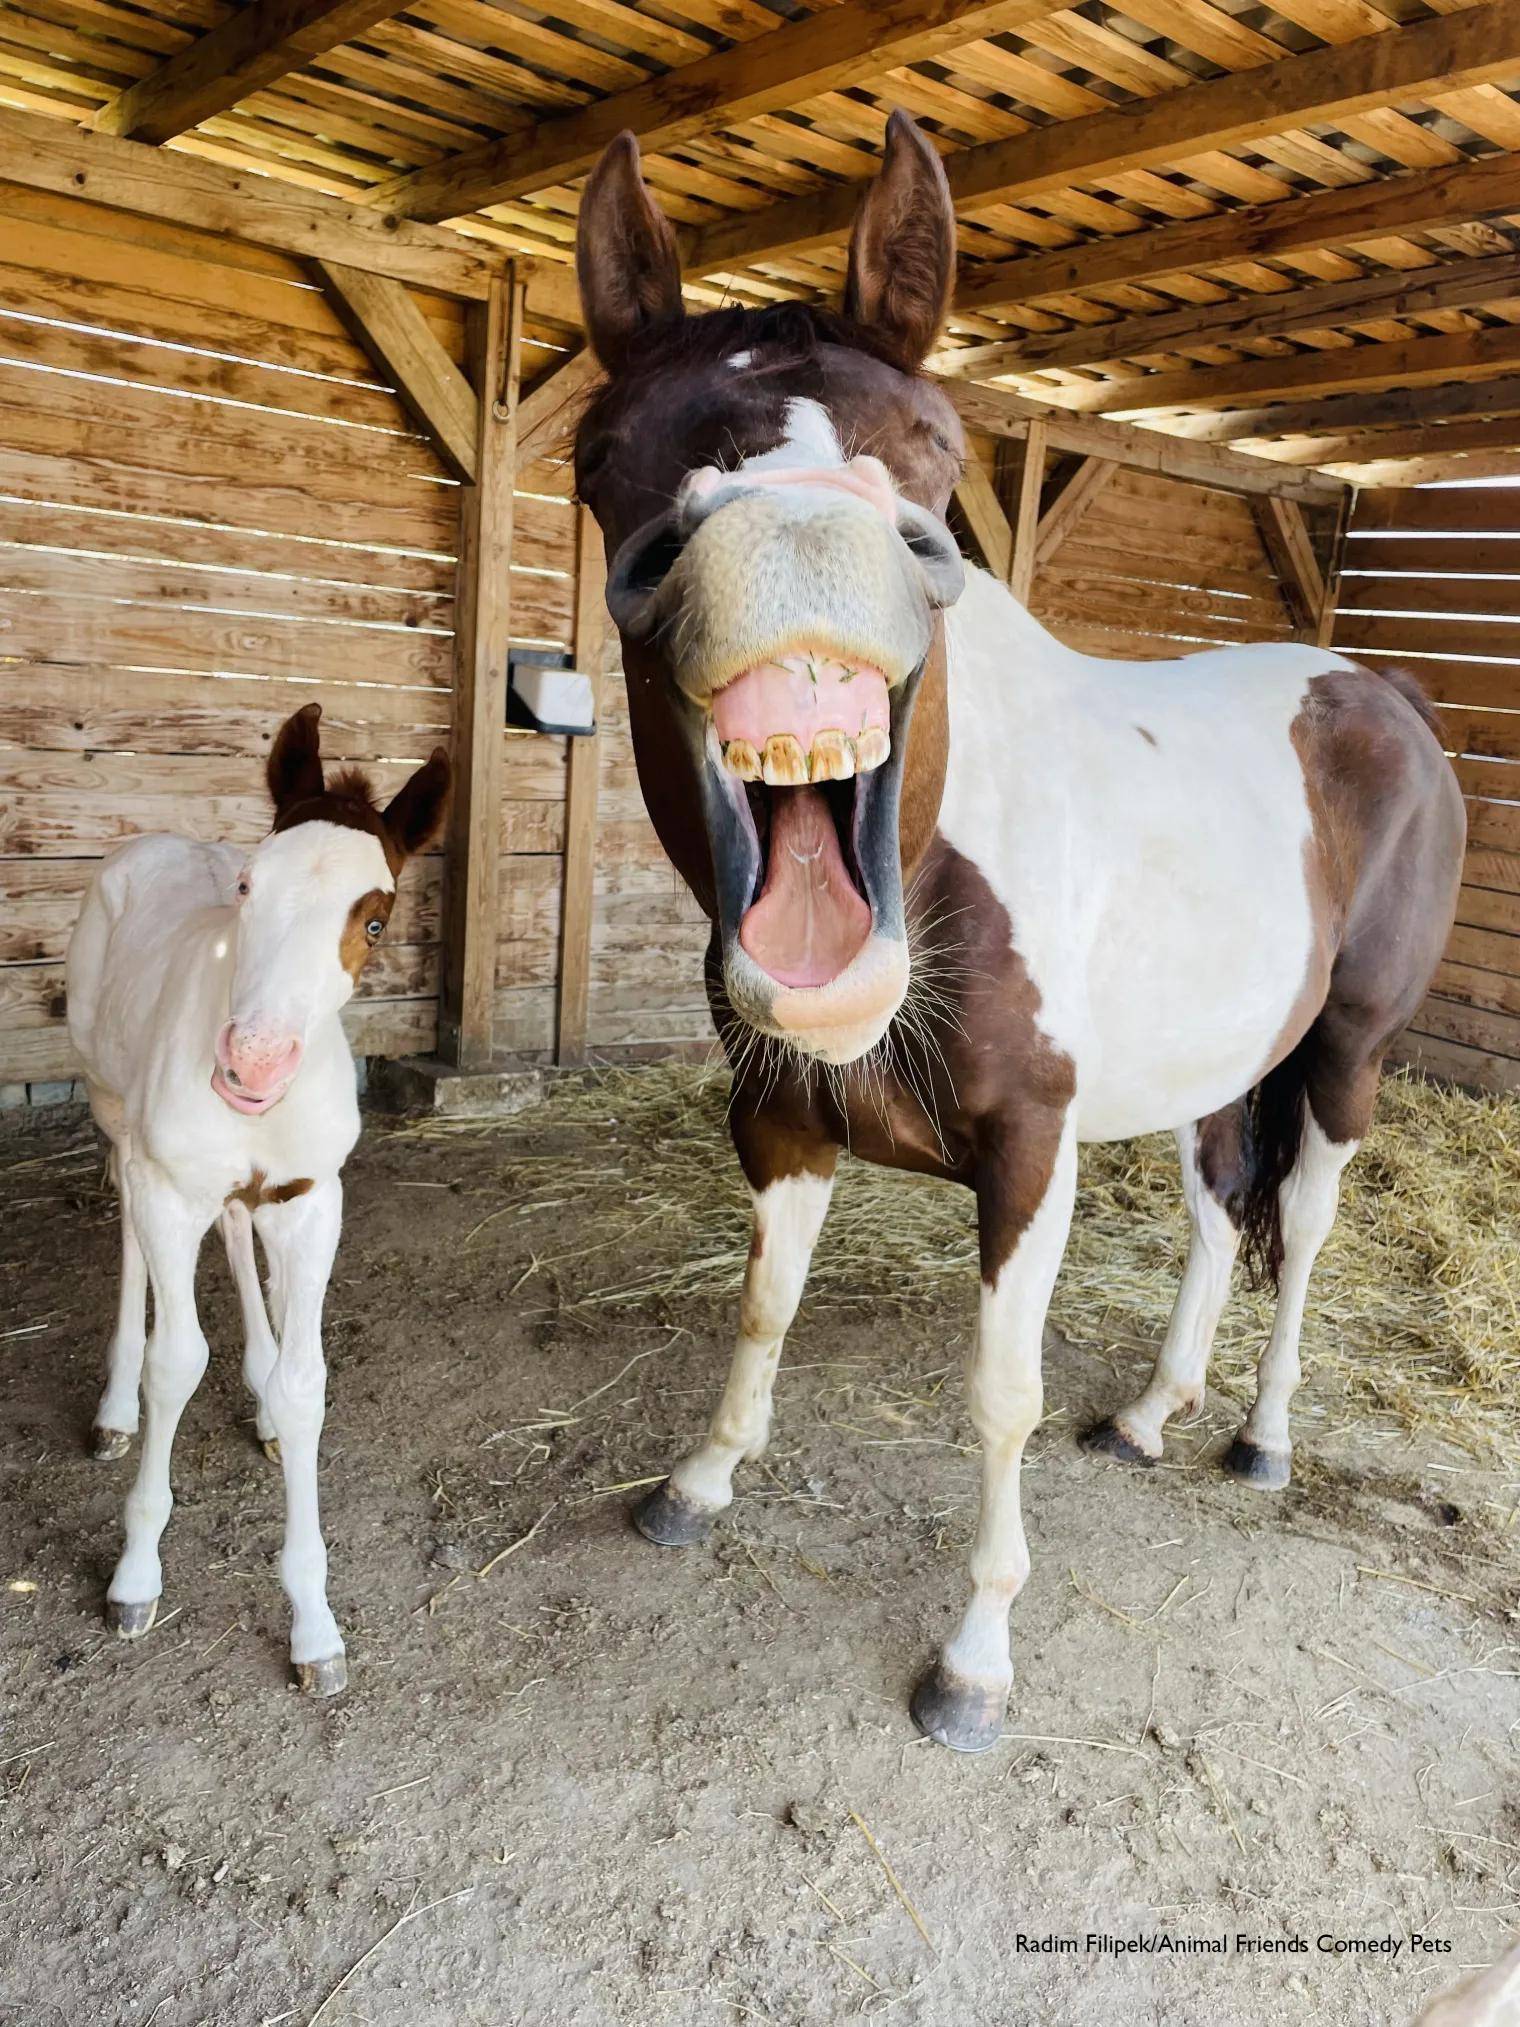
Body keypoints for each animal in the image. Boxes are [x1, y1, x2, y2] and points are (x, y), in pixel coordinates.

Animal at [68, 705, 449, 1686]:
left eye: (377, 920)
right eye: (248, 884)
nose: (254, 1065)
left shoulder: (312, 1201)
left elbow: (308, 1379)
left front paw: (314, 1623)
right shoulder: (169, 1187)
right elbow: (176, 1361)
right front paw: (135, 1575)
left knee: (237, 1229)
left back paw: (260, 1394)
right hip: (113, 1104)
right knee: (131, 1229)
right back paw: (114, 1409)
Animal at [567, 115, 1467, 1759]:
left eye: (935, 447)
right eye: (604, 454)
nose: (794, 547)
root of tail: (1382, 693)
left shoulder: (1029, 1151)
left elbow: (999, 1394)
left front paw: (974, 1658)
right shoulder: (779, 1116)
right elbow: (762, 1303)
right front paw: (700, 1479)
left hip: (1347, 1050)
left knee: (1302, 1226)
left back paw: (1259, 1435)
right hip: (1212, 1063)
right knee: (1215, 1212)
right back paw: (1155, 1410)